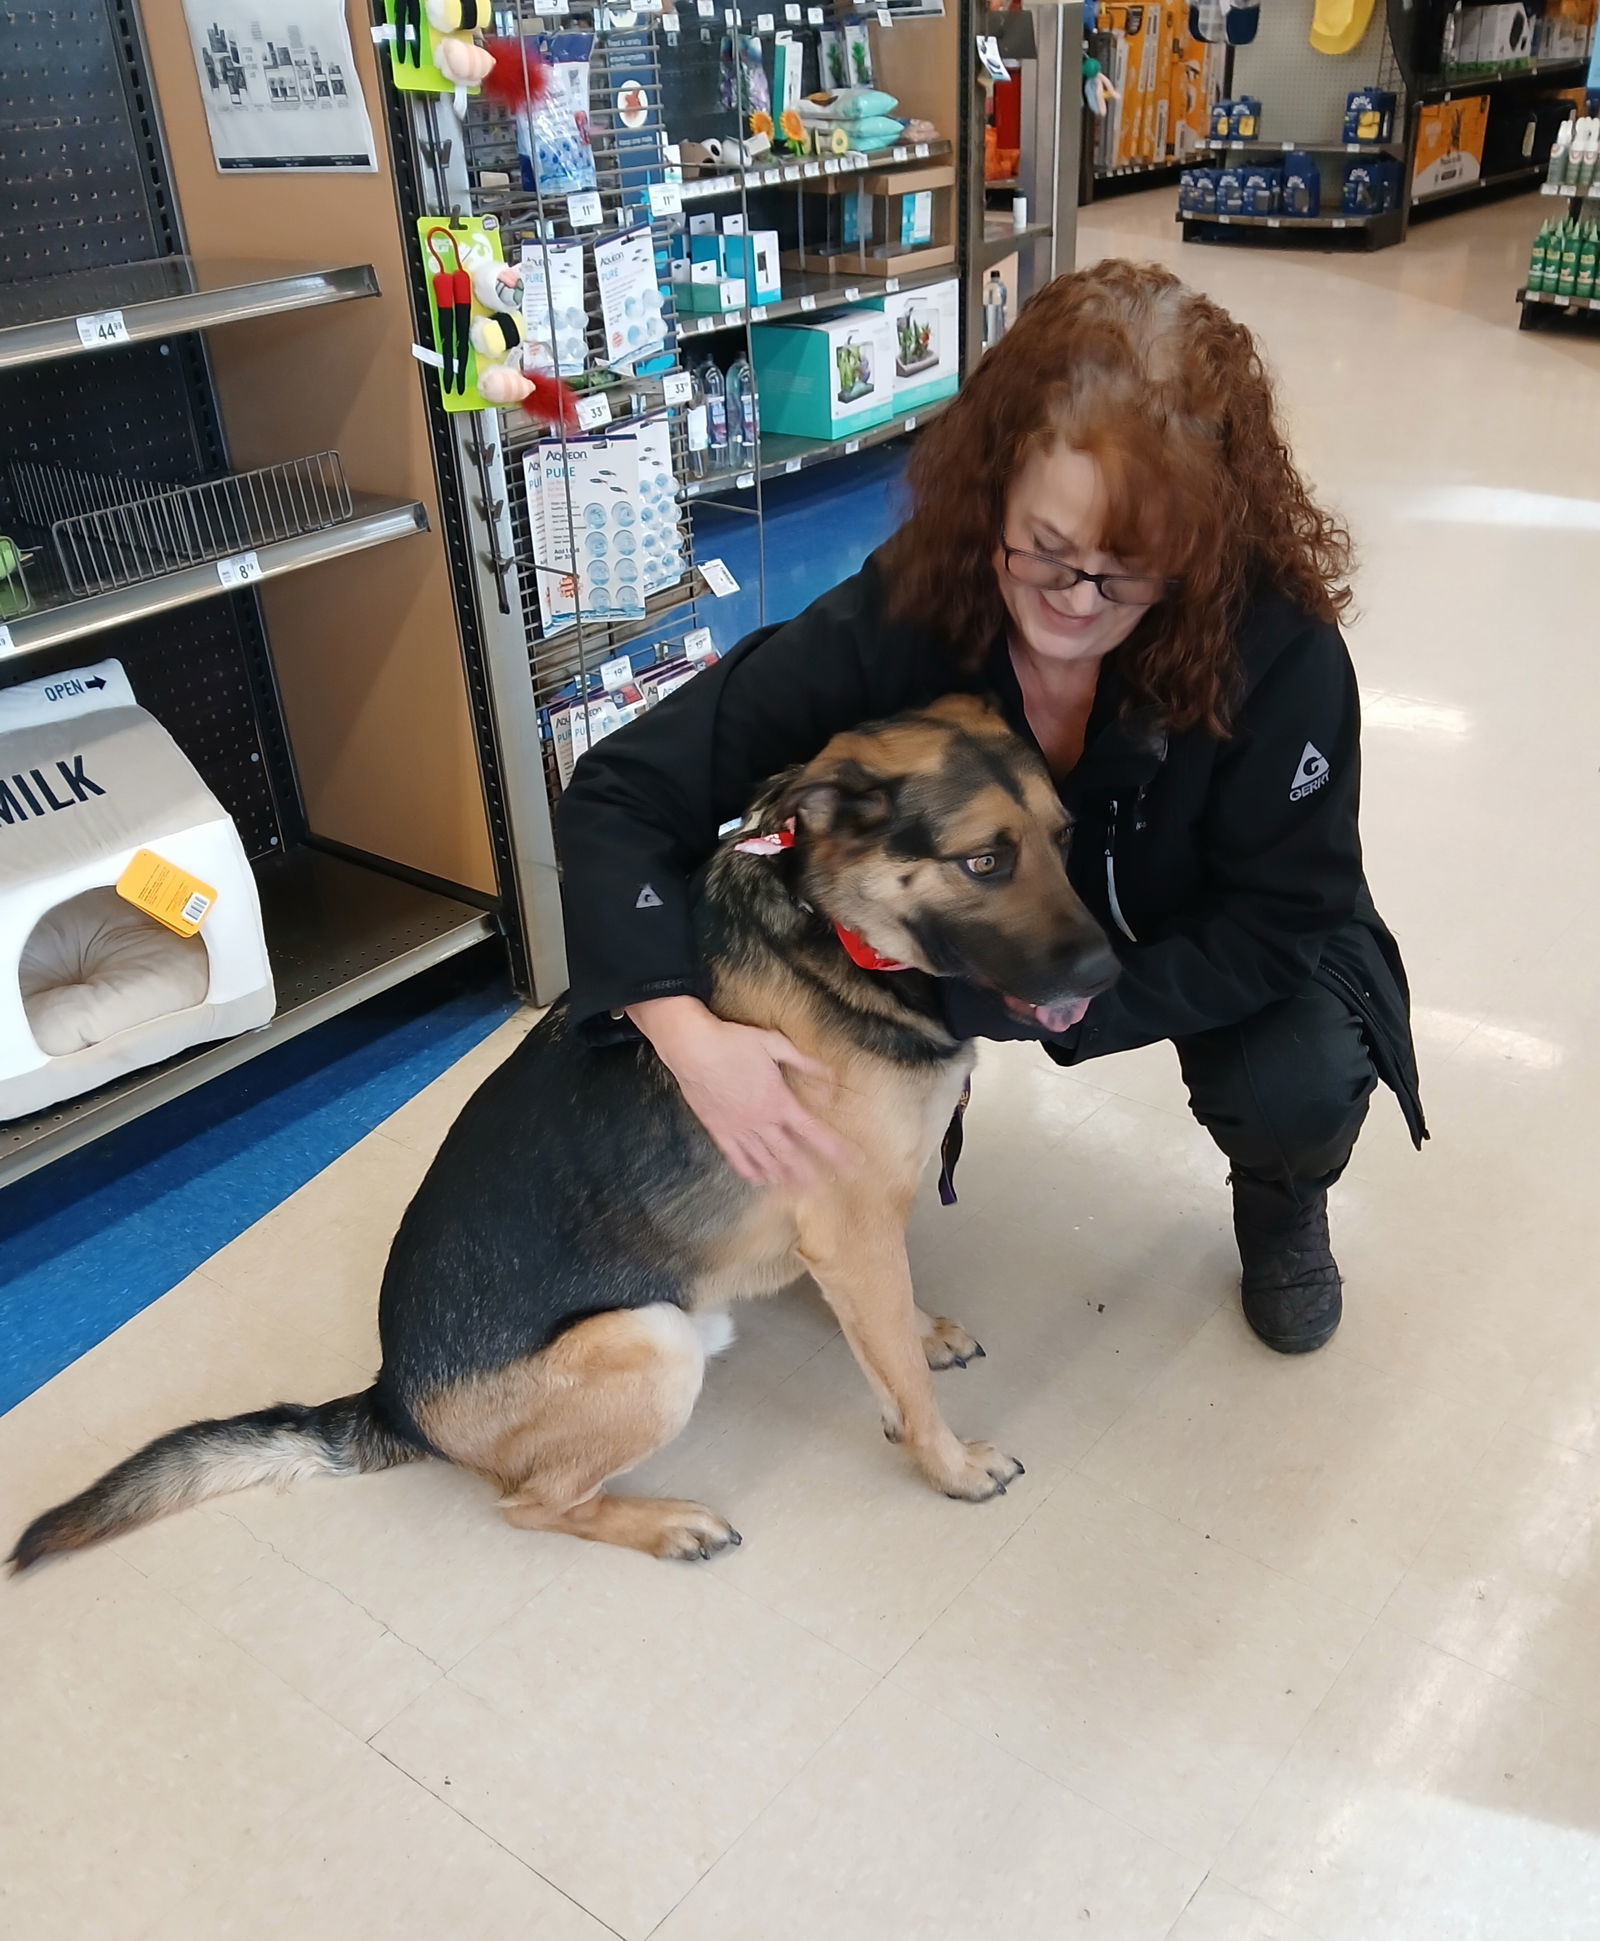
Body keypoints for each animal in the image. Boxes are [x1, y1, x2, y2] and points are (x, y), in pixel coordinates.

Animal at [9, 702, 1110, 1576]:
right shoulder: (851, 1224)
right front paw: (952, 1465)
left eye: (1064, 838)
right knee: (531, 1504)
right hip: (651, 1340)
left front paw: (918, 1333)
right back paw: (666, 1524)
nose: (1109, 971)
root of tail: (392, 1401)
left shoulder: (861, 1226)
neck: (827, 934)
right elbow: (905, 1384)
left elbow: (889, 1328)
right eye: (982, 861)